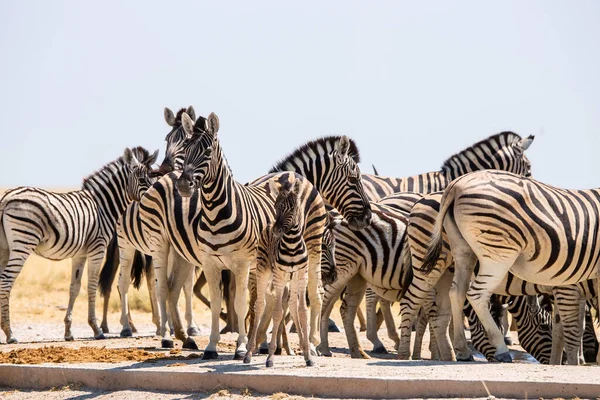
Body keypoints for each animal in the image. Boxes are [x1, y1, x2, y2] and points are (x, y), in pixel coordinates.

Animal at [0, 145, 158, 342]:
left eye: (154, 178)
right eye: (143, 180)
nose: (154, 199)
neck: (102, 206)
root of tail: (6, 198)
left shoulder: (80, 254)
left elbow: (74, 288)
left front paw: (68, 331)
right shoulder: (97, 249)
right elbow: (91, 286)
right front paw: (97, 330)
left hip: (5, 248)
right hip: (22, 243)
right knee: (6, 281)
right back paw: (10, 333)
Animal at [246, 177, 316, 368]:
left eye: (292, 208)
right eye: (276, 207)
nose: (277, 231)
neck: (291, 244)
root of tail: (268, 224)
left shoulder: (301, 277)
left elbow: (302, 312)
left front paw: (308, 356)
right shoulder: (279, 277)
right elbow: (277, 312)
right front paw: (270, 357)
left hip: (291, 281)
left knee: (291, 305)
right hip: (263, 271)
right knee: (259, 305)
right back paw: (248, 353)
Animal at [420, 170, 600, 364]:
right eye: (544, 328)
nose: (591, 355)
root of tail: (456, 185)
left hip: (463, 250)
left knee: (457, 292)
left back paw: (463, 351)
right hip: (498, 254)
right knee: (476, 294)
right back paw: (501, 350)